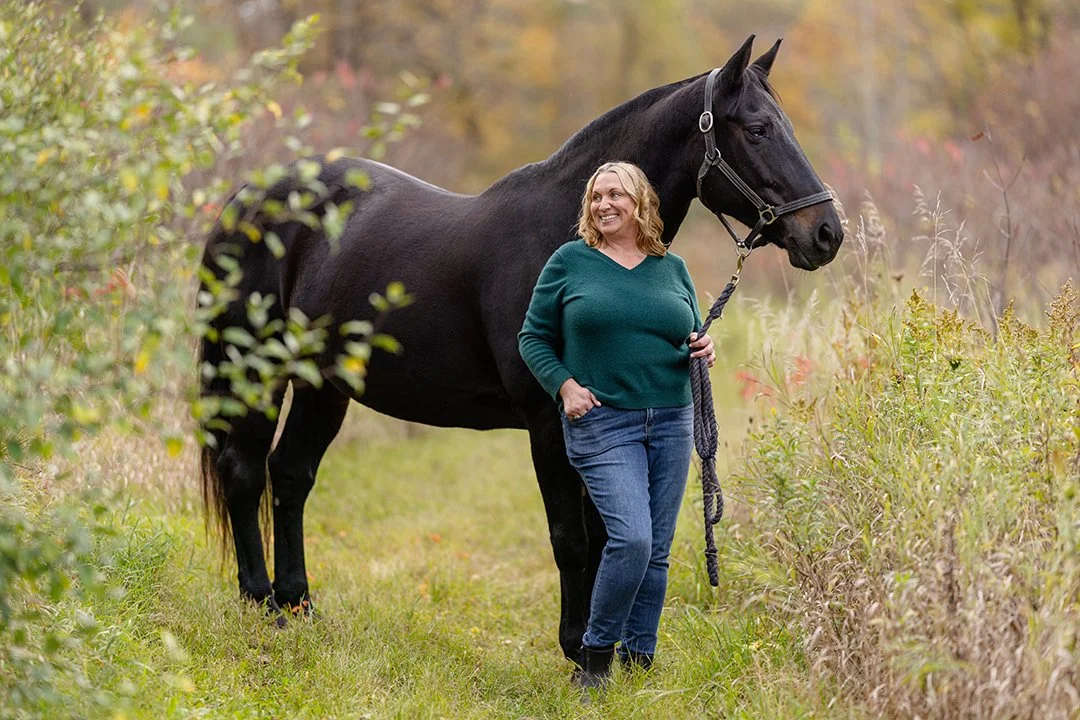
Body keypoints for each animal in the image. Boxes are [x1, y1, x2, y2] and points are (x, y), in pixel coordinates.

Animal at [197, 35, 843, 668]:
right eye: (757, 128)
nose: (826, 233)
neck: (563, 230)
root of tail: (245, 199)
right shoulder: (551, 421)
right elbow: (571, 537)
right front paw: (579, 648)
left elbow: (606, 533)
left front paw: (603, 649)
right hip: (254, 369)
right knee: (244, 471)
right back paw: (263, 602)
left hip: (322, 383)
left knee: (290, 475)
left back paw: (298, 602)